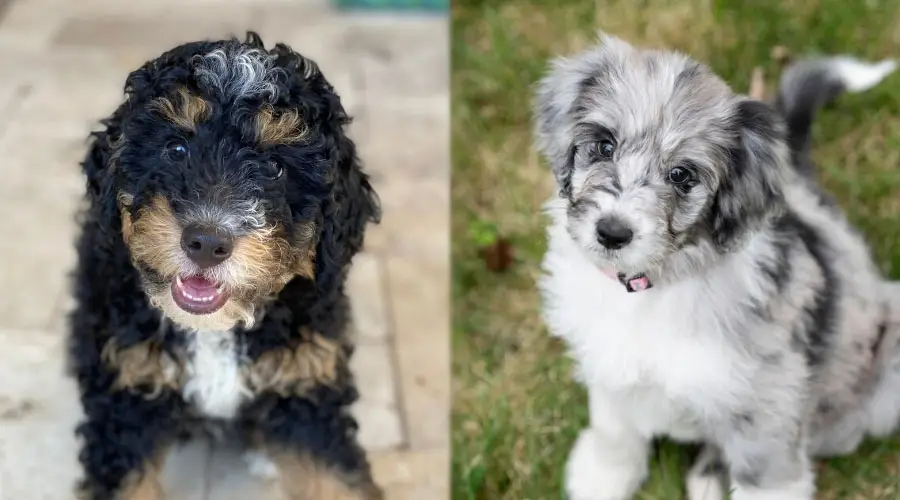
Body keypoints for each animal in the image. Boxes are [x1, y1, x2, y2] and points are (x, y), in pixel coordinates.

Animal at [67, 32, 382, 500]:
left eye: (276, 167)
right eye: (175, 148)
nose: (207, 242)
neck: (213, 332)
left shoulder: (307, 383)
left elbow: (334, 478)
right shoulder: (126, 397)